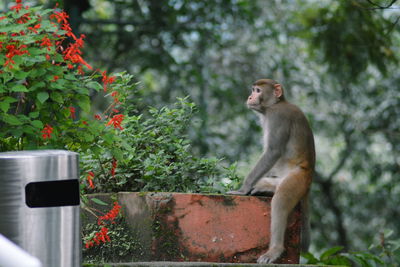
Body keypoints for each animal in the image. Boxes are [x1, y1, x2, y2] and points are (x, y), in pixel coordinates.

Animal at [228, 78, 316, 264]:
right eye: (253, 90)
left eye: (258, 91)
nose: (250, 96)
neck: (275, 104)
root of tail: (309, 179)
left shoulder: (278, 117)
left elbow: (273, 152)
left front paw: (243, 189)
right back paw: (266, 188)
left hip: (298, 179)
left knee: (281, 200)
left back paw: (275, 250)